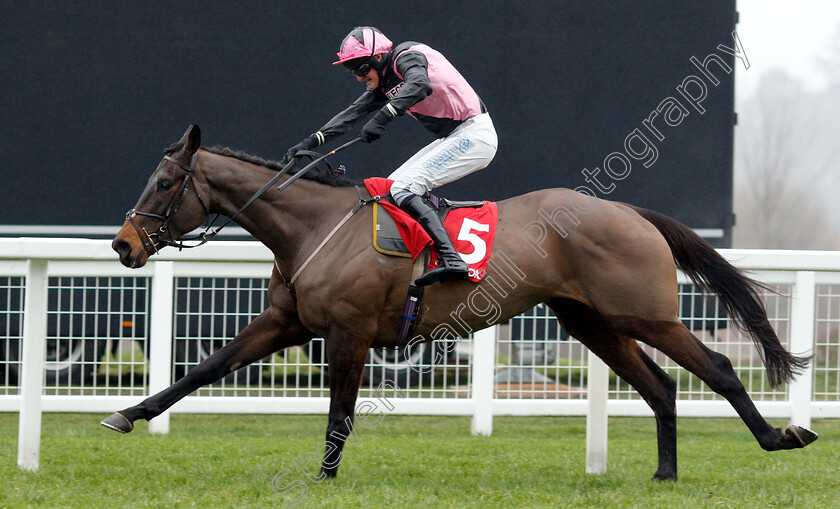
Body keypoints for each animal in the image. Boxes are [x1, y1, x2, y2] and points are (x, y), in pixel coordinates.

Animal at [101, 126, 816, 480]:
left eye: (163, 182)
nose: (122, 244)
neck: (313, 226)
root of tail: (629, 212)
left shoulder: (349, 333)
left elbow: (339, 413)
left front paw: (324, 476)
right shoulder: (287, 322)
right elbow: (203, 369)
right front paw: (127, 415)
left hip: (645, 315)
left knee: (716, 370)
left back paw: (780, 436)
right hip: (592, 323)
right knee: (661, 388)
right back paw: (665, 474)